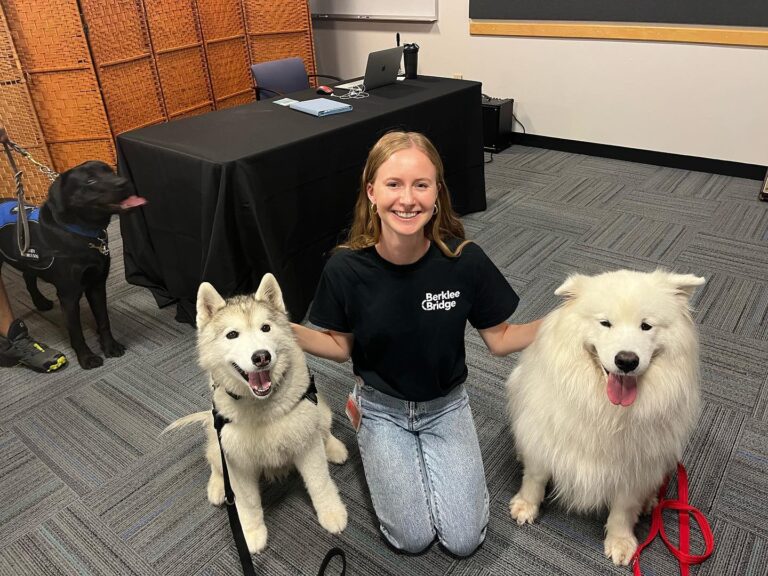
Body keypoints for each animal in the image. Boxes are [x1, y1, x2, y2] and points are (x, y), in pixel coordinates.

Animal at [0, 162, 146, 368]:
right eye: (90, 180)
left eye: (110, 171)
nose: (124, 182)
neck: (81, 232)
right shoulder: (68, 295)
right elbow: (76, 332)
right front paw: (87, 358)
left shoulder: (96, 285)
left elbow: (103, 319)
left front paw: (110, 346)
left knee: (28, 277)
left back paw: (40, 302)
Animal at [169, 274, 352, 552]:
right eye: (232, 334)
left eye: (266, 328)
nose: (261, 357)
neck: (263, 408)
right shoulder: (237, 459)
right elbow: (247, 502)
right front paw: (251, 533)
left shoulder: (306, 441)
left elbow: (319, 482)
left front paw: (331, 512)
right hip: (217, 438)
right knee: (213, 460)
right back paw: (217, 487)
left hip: (318, 407)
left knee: (323, 428)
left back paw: (334, 448)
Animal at [508, 272, 704, 568]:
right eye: (605, 323)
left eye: (646, 326)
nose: (626, 360)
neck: (607, 412)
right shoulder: (545, 437)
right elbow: (535, 477)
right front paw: (525, 506)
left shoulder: (633, 468)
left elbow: (623, 509)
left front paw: (621, 542)